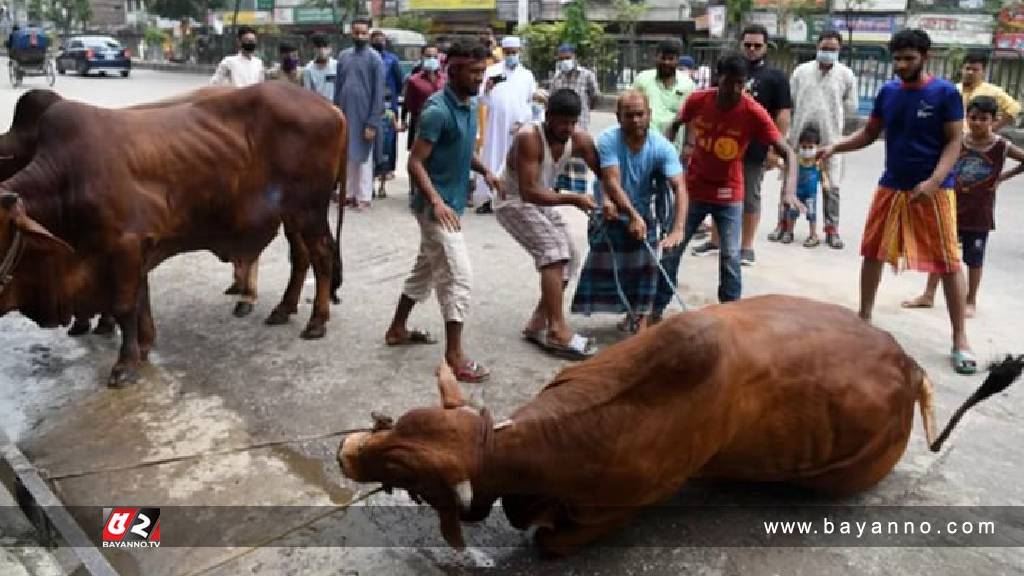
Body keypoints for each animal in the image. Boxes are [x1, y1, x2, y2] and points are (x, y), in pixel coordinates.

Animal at [0, 80, 348, 385]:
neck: (66, 181)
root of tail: (332, 107)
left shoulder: (124, 248)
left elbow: (124, 305)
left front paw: (125, 363)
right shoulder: (138, 250)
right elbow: (140, 299)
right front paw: (143, 345)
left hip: (309, 211)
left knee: (322, 256)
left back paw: (316, 321)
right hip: (294, 214)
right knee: (301, 256)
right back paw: (284, 309)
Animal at [339, 293, 1019, 553]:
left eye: (405, 472)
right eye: (396, 421)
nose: (347, 451)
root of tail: (907, 365)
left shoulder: (613, 508)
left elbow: (552, 539)